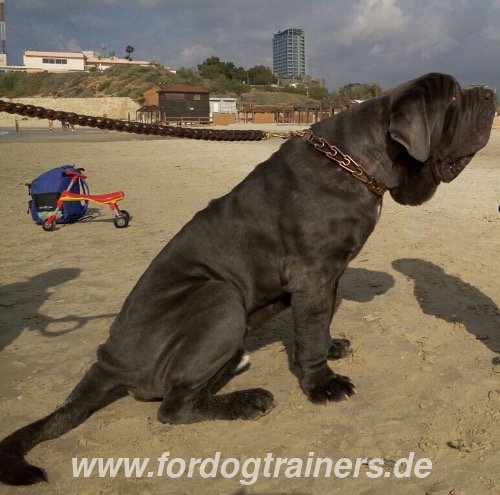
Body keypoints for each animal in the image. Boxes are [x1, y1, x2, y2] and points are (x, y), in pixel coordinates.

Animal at [0, 71, 496, 486]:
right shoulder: (313, 272)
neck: (359, 160)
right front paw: (322, 383)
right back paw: (246, 400)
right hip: (220, 296)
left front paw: (329, 345)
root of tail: (108, 359)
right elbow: (310, 336)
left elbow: (317, 323)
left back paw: (233, 368)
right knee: (172, 408)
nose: (489, 92)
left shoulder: (330, 274)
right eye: (454, 97)